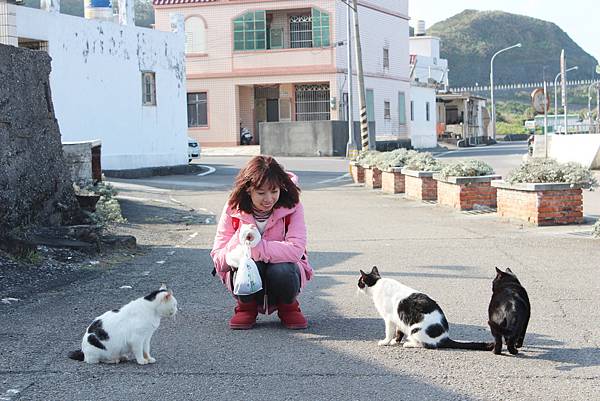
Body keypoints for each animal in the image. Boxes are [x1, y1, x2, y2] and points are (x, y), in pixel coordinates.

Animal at [356, 266, 492, 350]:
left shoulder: (389, 319)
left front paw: (386, 342)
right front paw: (395, 341)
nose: (356, 286)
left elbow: (389, 332)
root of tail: (444, 337)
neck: (376, 284)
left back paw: (409, 344)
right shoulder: (399, 318)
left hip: (415, 329)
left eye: (360, 282)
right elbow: (399, 331)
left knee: (427, 345)